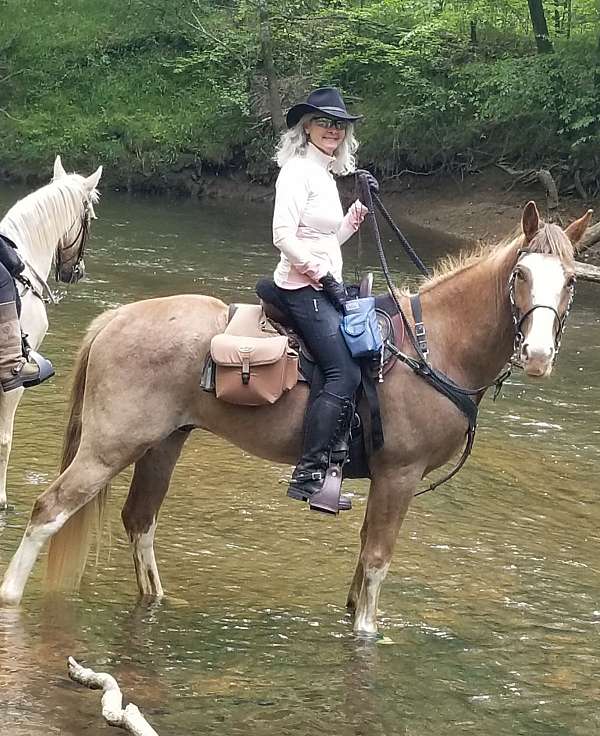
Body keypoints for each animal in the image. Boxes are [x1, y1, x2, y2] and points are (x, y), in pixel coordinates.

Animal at [0, 201, 593, 636]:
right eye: (520, 274)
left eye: (570, 280)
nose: (538, 356)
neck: (432, 348)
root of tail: (115, 318)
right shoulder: (399, 476)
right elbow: (378, 561)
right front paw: (368, 635)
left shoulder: (384, 480)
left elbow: (362, 561)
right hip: (109, 446)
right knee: (49, 509)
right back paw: (11, 595)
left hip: (164, 443)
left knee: (139, 520)